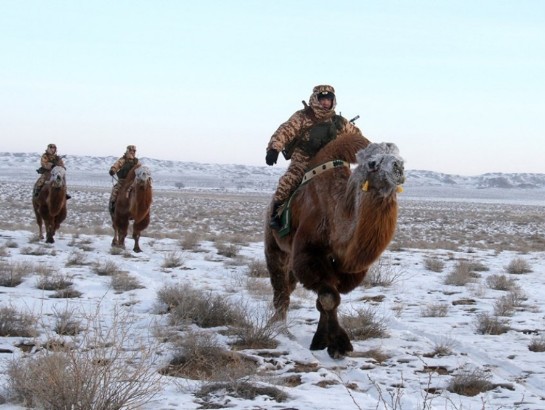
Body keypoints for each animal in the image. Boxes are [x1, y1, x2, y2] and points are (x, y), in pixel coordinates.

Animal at [264, 134, 405, 359]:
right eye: (372, 163)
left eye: (400, 157)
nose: (398, 167)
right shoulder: (307, 253)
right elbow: (329, 298)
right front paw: (337, 344)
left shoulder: (346, 267)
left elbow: (329, 298)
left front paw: (326, 343)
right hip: (274, 244)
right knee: (279, 284)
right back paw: (278, 327)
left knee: (289, 285)